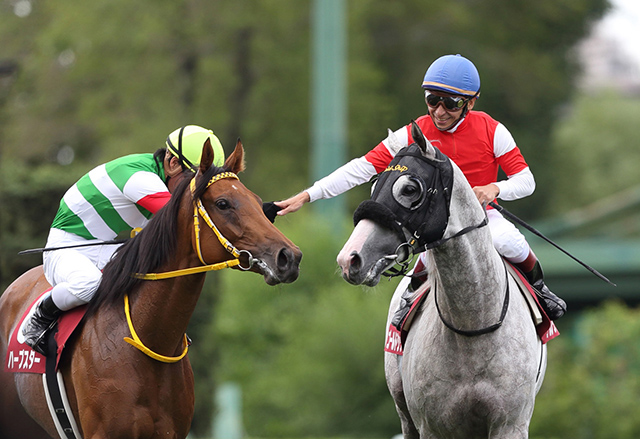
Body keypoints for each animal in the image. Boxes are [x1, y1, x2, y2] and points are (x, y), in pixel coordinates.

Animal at [336, 121, 544, 439]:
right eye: (374, 185)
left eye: (410, 189)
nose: (350, 259)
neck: (472, 325)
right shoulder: (432, 425)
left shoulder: (510, 424)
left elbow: (524, 176)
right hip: (404, 411)